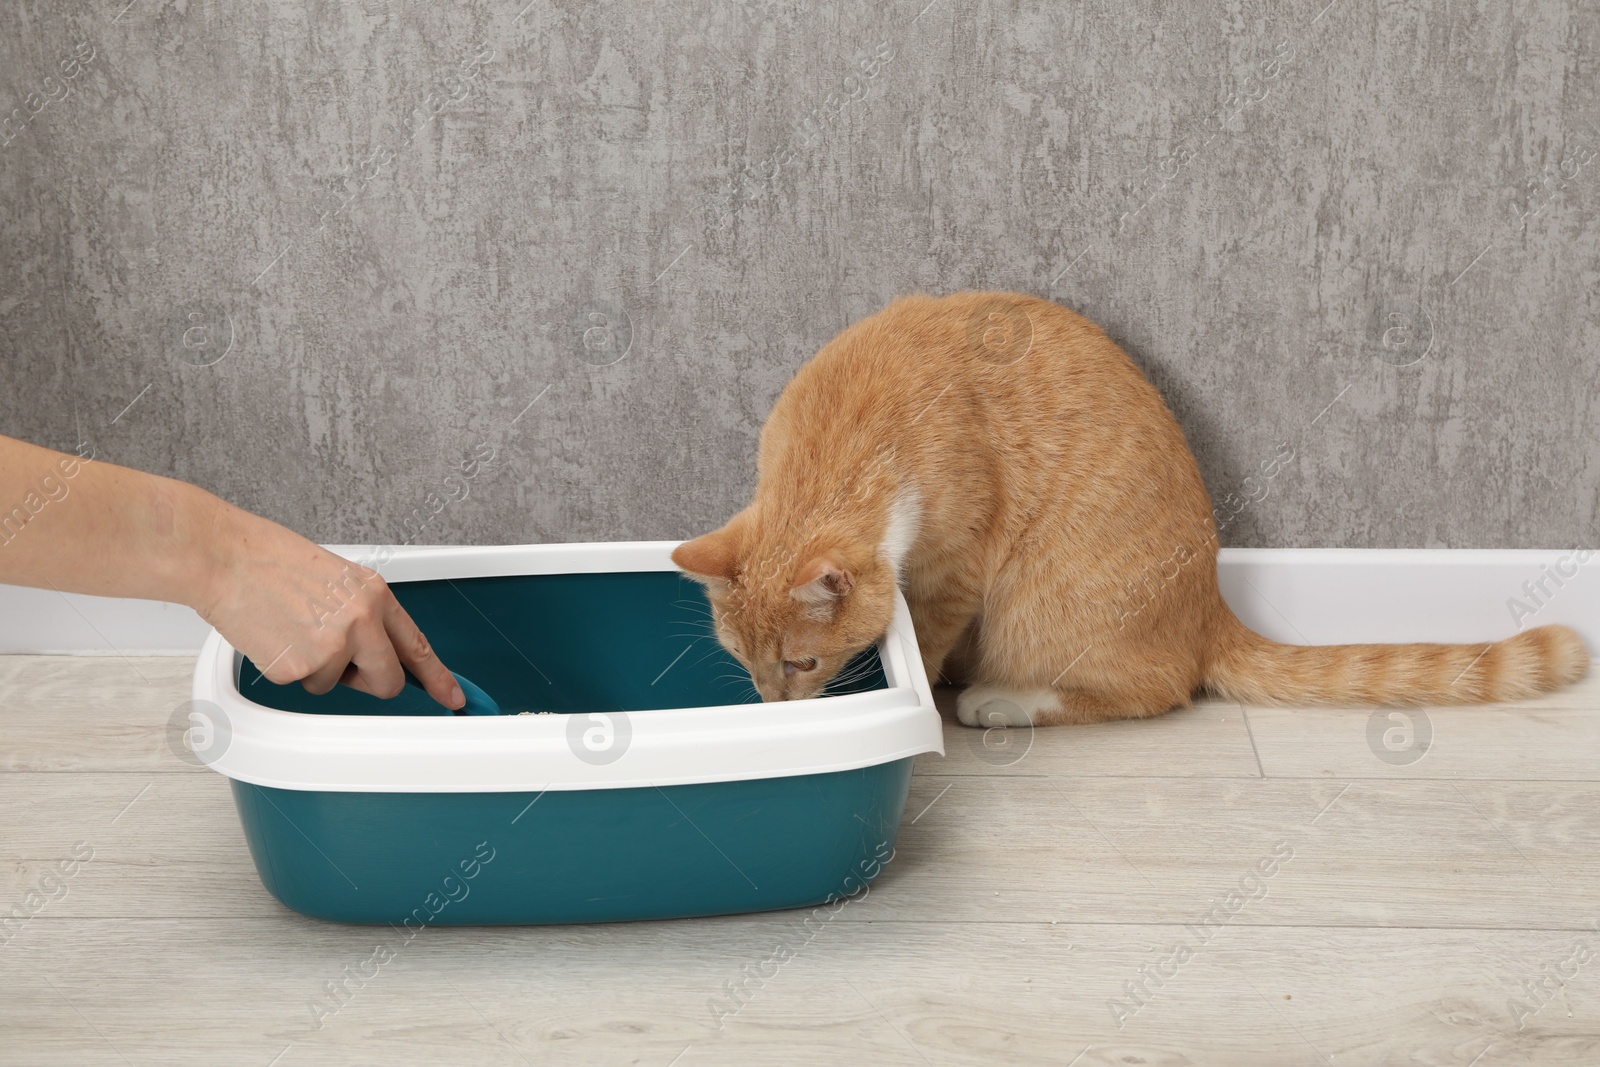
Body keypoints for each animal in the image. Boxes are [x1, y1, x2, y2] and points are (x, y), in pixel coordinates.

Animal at [665, 292, 1587, 726]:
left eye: (802, 663)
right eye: (745, 661)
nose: (773, 706)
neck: (846, 429)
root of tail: (1211, 606)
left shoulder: (957, 570)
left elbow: (924, 640)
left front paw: (924, 682)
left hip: (1040, 608)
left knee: (1151, 690)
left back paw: (999, 700)